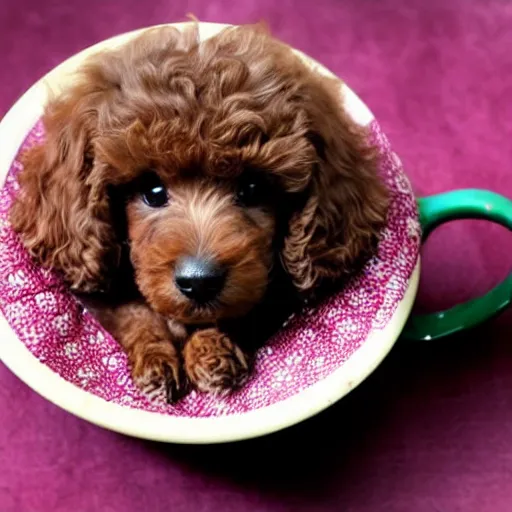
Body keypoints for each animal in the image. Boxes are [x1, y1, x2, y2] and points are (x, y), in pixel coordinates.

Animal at [9, 24, 388, 402]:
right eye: (152, 192)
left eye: (252, 188)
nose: (200, 282)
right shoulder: (97, 287)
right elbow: (134, 314)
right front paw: (157, 363)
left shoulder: (274, 295)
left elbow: (239, 312)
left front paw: (212, 355)